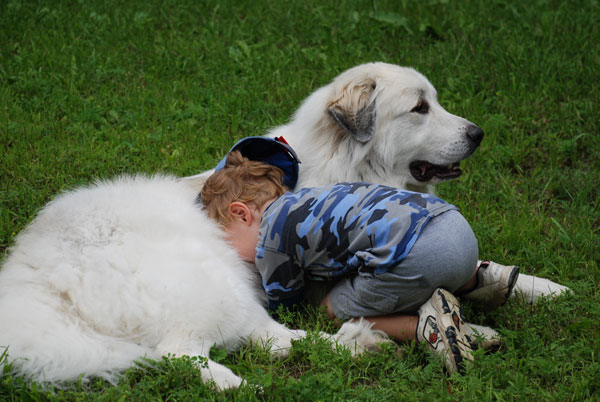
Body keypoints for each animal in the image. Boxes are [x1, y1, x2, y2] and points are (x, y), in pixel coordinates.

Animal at [0, 175, 382, 390]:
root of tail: (46, 277)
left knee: (279, 341)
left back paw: (360, 344)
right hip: (222, 291)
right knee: (193, 351)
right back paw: (240, 387)